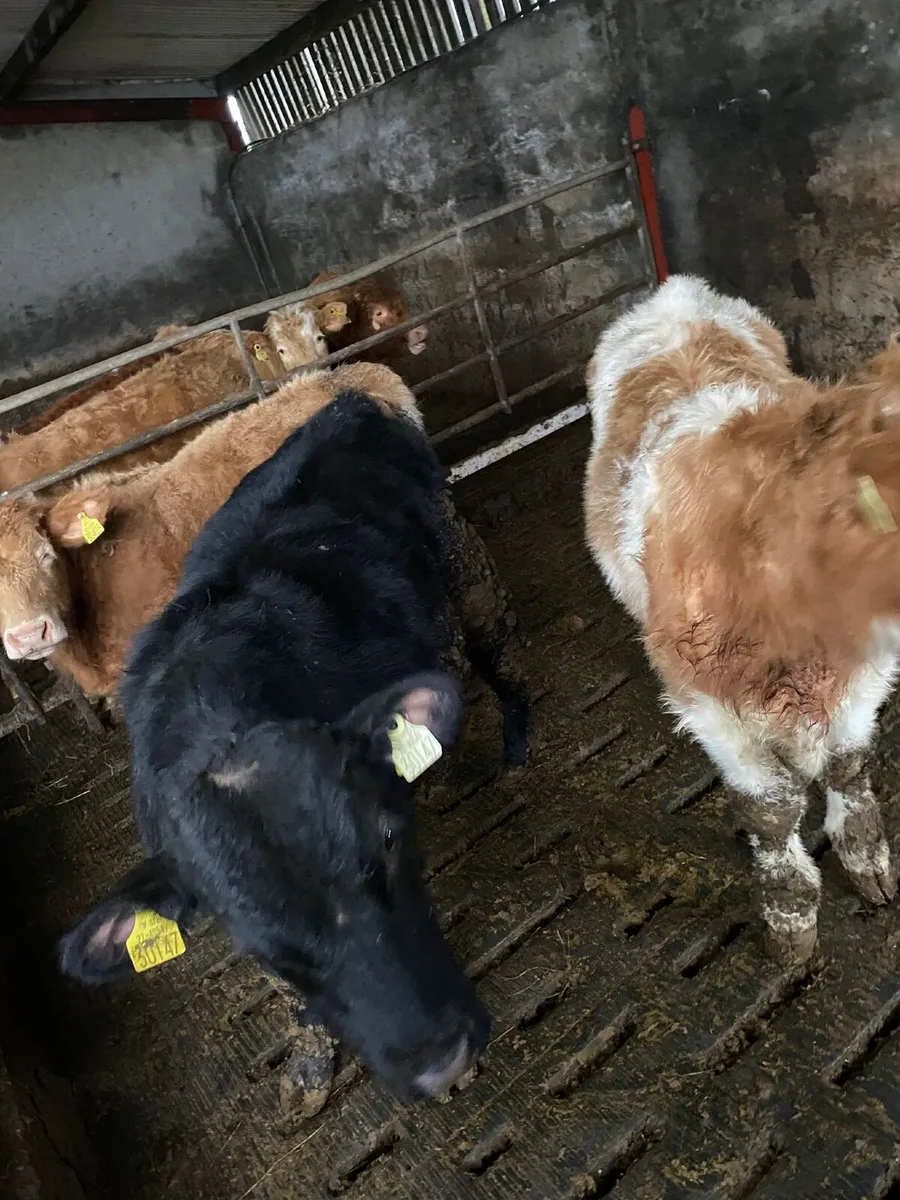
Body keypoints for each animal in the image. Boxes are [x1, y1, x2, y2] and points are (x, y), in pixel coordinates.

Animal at [583, 275, 900, 963]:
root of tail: (674, 293)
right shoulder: (706, 702)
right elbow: (770, 807)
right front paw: (790, 915)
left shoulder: (864, 679)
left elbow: (848, 763)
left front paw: (867, 858)